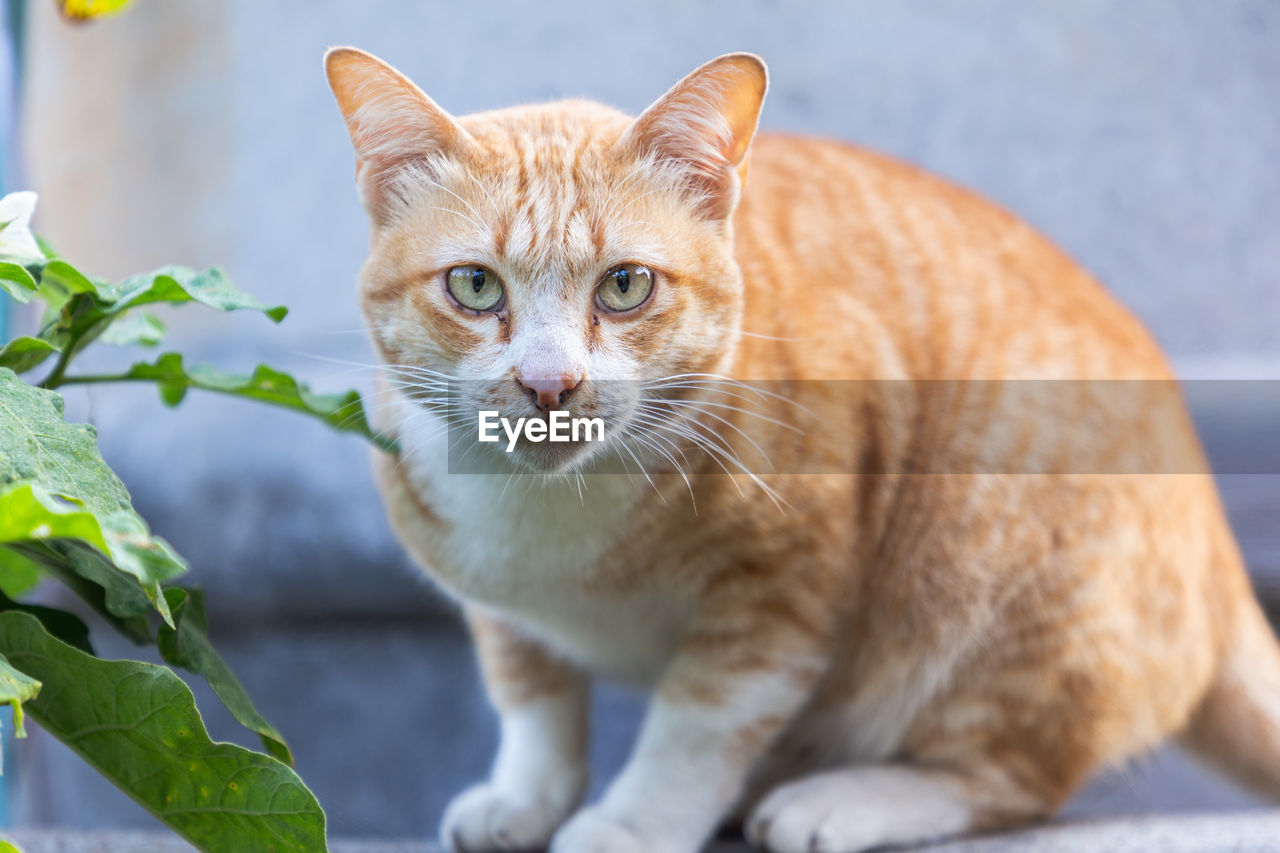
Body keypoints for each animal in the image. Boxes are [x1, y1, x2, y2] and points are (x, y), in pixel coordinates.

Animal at [322, 48, 1280, 850]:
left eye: (625, 286)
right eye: (474, 286)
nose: (550, 384)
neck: (552, 523)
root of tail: (1222, 556)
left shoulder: (781, 589)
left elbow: (695, 724)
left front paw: (631, 823)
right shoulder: (501, 610)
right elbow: (531, 695)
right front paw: (528, 795)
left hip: (1002, 592)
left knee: (1011, 775)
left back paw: (844, 798)